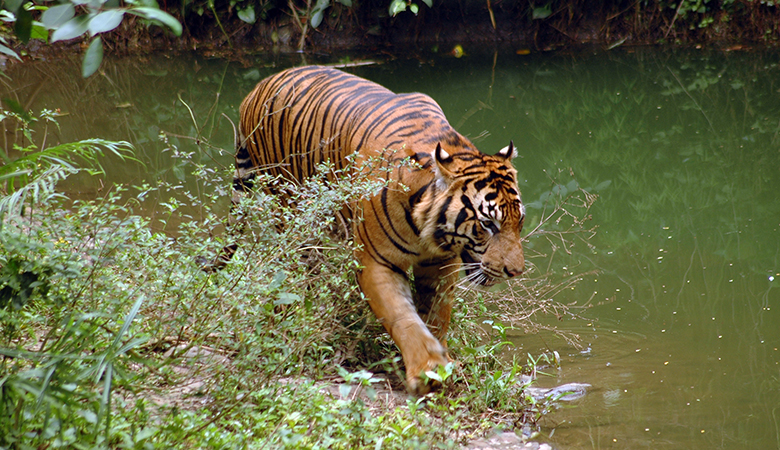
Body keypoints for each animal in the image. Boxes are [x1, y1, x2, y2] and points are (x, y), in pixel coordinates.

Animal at [219, 65, 528, 396]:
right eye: (488, 224)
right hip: (290, 210)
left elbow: (437, 314)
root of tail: (258, 87)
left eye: (518, 221)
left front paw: (442, 363)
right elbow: (402, 316)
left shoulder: (440, 262)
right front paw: (426, 370)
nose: (515, 272)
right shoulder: (377, 262)